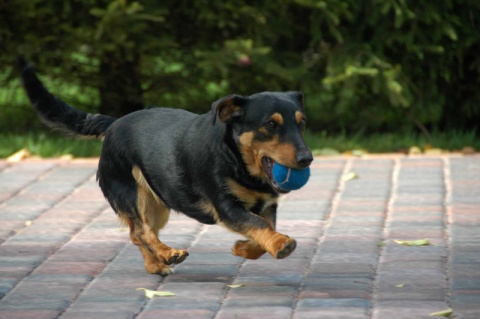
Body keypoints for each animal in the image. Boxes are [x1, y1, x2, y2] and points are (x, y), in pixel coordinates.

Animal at [20, 60, 314, 278]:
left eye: (302, 122)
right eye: (271, 124)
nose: (307, 159)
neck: (237, 160)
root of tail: (114, 123)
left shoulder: (266, 205)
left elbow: (264, 227)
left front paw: (244, 249)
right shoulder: (226, 206)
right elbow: (257, 224)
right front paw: (281, 244)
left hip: (157, 203)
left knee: (139, 234)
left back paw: (156, 264)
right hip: (129, 192)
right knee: (140, 231)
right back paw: (168, 253)